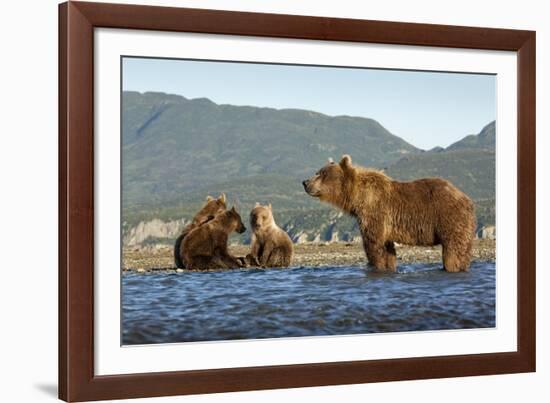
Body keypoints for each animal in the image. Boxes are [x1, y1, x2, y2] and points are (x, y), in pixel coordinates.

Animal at [304, 156, 476, 274]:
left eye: (321, 173)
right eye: (317, 172)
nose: (305, 182)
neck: (357, 197)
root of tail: (466, 199)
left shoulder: (375, 212)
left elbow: (374, 245)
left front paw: (376, 266)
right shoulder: (385, 224)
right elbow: (387, 249)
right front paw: (389, 267)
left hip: (449, 218)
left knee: (453, 250)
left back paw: (450, 267)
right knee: (464, 251)